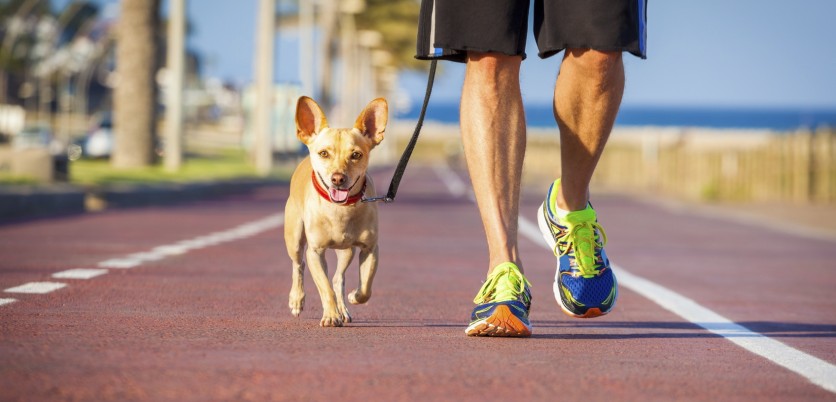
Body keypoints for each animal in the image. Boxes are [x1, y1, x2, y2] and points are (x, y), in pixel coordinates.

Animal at [280, 96, 386, 326]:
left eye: (356, 155)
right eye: (324, 153)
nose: (338, 178)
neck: (340, 210)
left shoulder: (370, 249)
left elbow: (366, 287)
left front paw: (354, 297)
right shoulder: (315, 252)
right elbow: (324, 287)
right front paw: (330, 315)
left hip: (347, 251)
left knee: (338, 278)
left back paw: (343, 309)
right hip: (294, 238)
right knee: (298, 265)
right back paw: (297, 300)